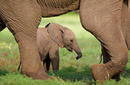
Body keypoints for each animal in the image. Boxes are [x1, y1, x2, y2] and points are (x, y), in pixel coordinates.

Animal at [0, 0, 129, 81]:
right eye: (71, 40)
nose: (77, 57)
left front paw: (113, 79)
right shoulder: (53, 44)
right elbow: (95, 21)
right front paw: (99, 74)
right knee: (29, 19)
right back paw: (46, 78)